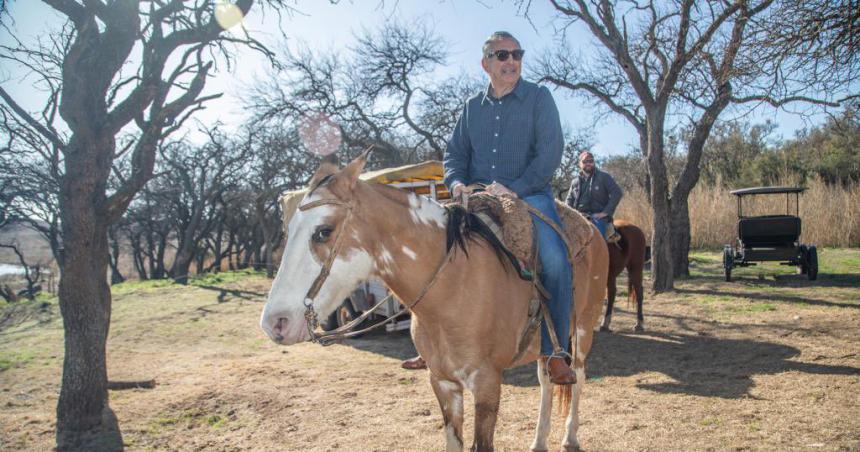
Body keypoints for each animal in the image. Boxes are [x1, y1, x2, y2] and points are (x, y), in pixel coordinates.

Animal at [258, 154, 608, 450]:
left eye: (323, 231)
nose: (275, 323)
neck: (454, 285)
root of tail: (592, 229)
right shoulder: (442, 382)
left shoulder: (487, 384)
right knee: (546, 380)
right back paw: (538, 441)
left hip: (583, 328)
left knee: (577, 376)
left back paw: (570, 437)